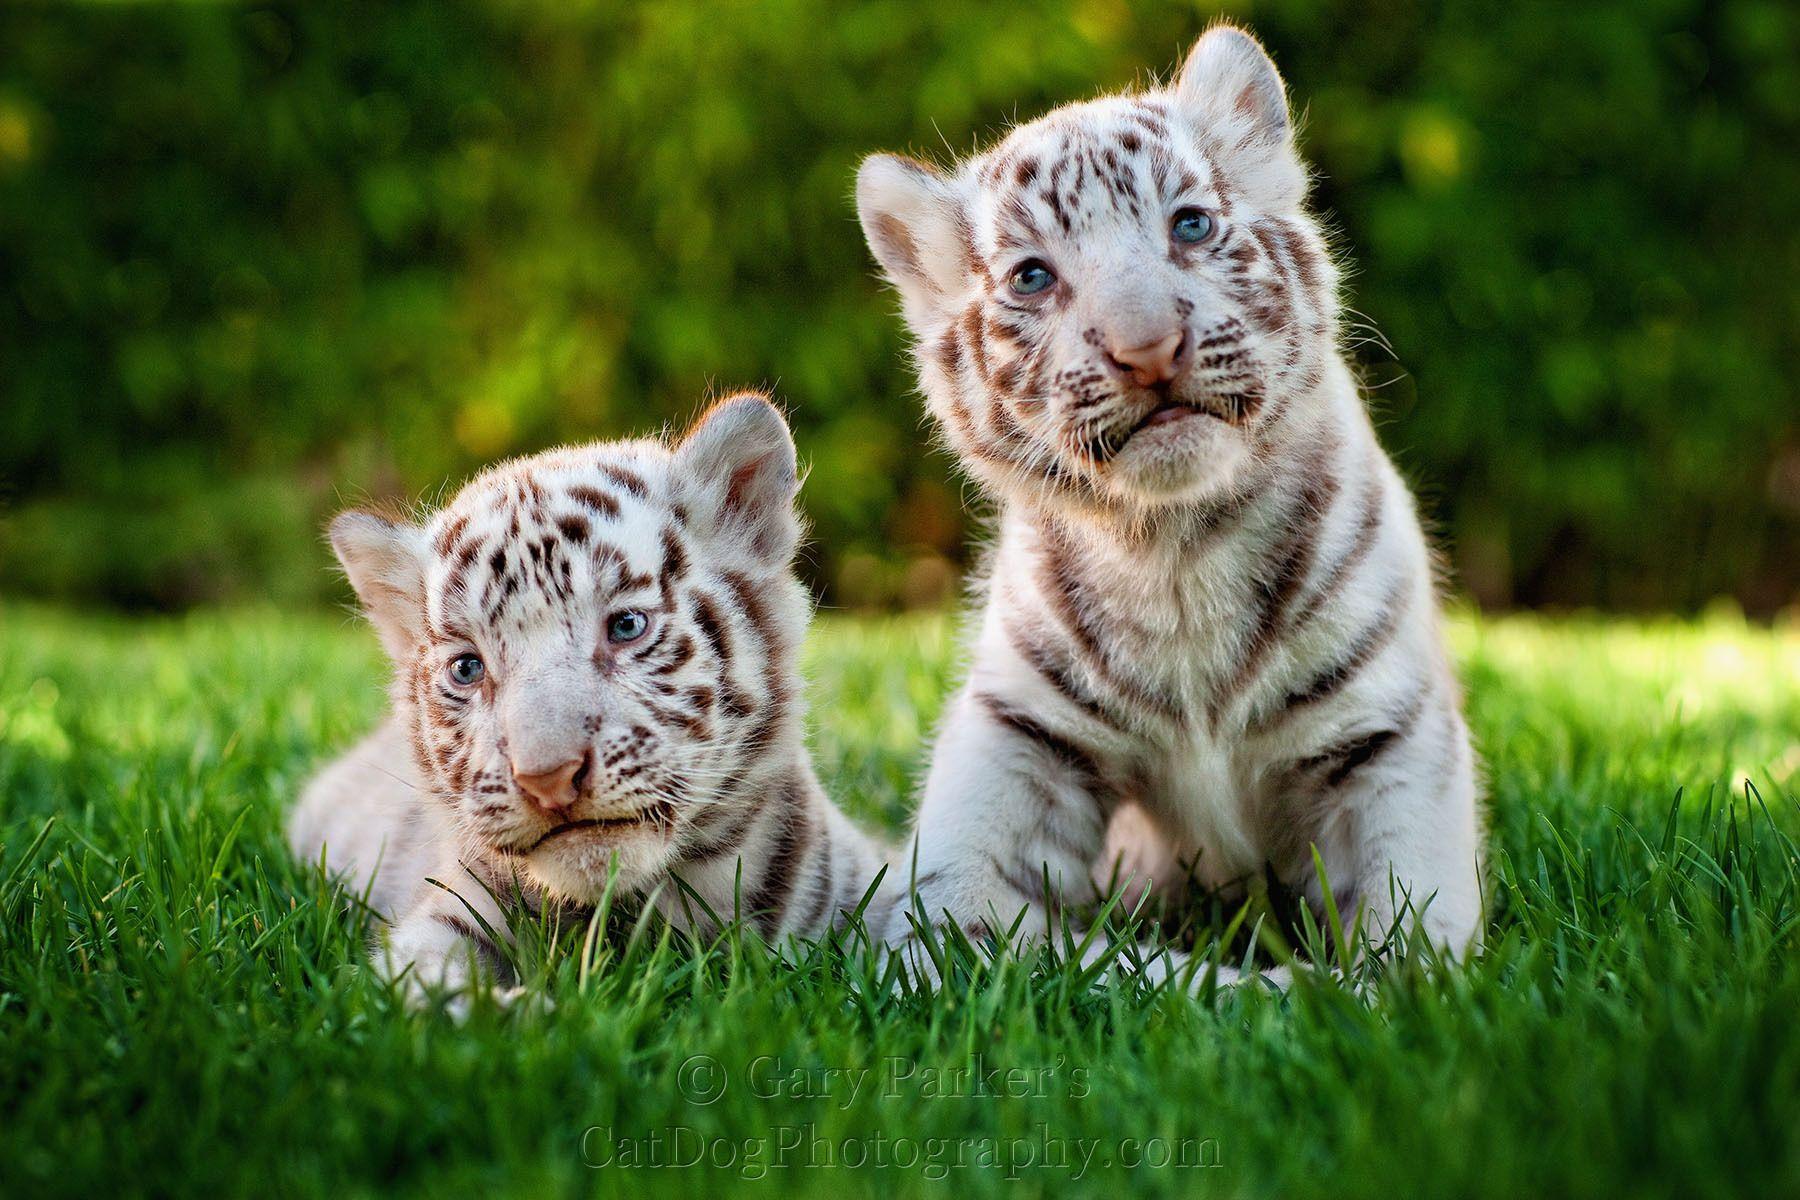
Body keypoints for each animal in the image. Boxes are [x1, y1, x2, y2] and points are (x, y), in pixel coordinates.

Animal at [854, 24, 1484, 976]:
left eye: (1189, 225)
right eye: (1033, 277)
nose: (1147, 348)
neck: (1177, 549)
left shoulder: (1387, 735)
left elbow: (1411, 946)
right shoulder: (1015, 743)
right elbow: (1065, 959)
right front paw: (1234, 986)